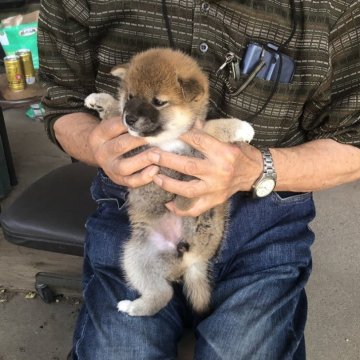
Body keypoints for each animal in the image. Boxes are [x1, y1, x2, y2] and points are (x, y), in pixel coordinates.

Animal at [84, 49, 255, 316]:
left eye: (158, 102)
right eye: (130, 96)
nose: (129, 118)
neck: (165, 142)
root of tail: (193, 262)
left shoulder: (192, 149)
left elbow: (209, 128)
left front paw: (240, 128)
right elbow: (113, 115)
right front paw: (100, 100)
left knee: (164, 293)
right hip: (136, 256)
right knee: (162, 293)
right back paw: (133, 306)